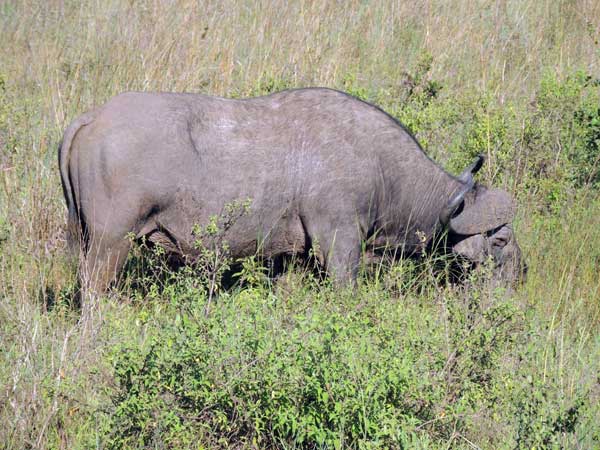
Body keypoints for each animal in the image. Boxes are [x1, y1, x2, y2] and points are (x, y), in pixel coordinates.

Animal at [58, 89, 524, 292]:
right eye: (500, 240)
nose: (522, 275)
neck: (382, 168)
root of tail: (93, 117)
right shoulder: (339, 244)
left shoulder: (288, 258)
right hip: (110, 245)